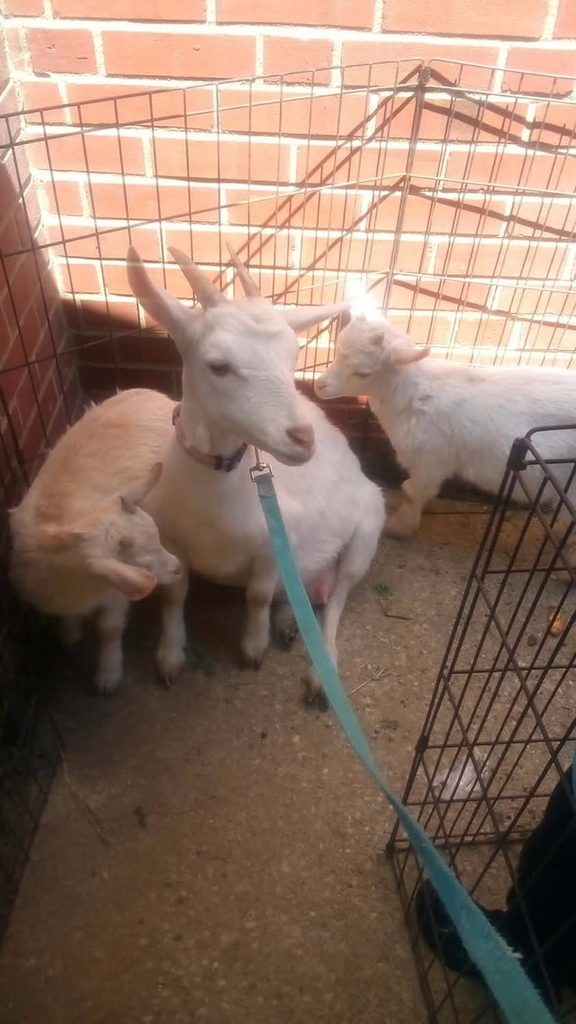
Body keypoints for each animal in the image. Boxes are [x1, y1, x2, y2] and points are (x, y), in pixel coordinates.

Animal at [10, 389, 183, 693]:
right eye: (141, 562)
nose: (177, 568)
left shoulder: (115, 592)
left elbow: (109, 629)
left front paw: (107, 673)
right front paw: (69, 633)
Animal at [127, 244, 385, 704]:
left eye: (293, 356)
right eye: (218, 365)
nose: (304, 438)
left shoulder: (274, 542)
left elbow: (258, 595)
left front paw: (252, 646)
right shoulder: (170, 540)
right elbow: (174, 595)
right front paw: (170, 656)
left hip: (367, 530)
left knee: (336, 599)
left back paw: (320, 672)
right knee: (303, 594)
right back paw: (288, 623)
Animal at [315, 313, 576, 538]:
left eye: (363, 373)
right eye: (336, 351)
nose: (319, 385)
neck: (414, 395)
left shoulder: (429, 460)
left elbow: (412, 492)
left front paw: (399, 527)